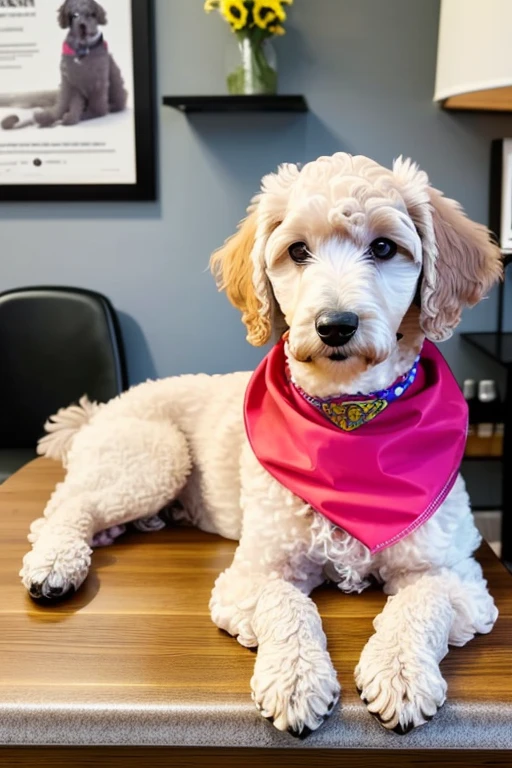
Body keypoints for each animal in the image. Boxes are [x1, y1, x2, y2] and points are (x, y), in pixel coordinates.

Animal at [22, 153, 502, 736]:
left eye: (386, 247)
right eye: (297, 250)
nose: (335, 325)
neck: (347, 420)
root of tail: (101, 411)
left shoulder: (452, 574)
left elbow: (421, 604)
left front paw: (399, 673)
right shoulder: (256, 570)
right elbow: (287, 606)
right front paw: (296, 682)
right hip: (155, 456)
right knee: (66, 508)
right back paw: (55, 565)